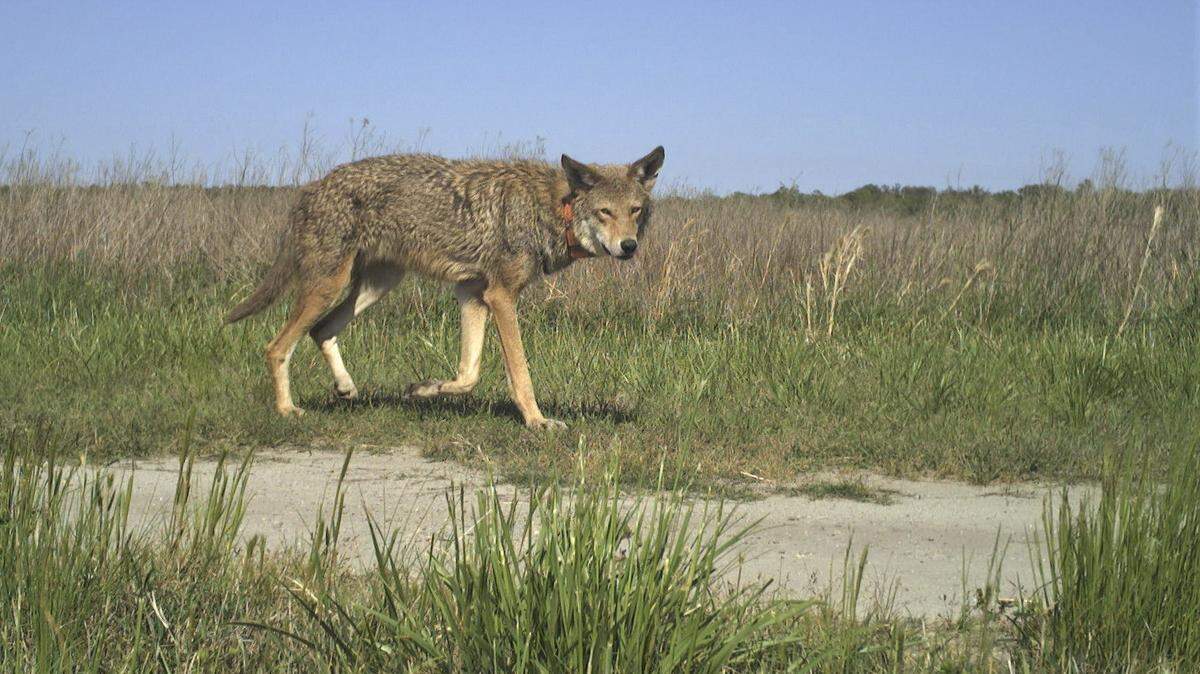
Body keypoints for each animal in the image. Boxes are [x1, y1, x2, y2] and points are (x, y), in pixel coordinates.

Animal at [226, 146, 665, 430]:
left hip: (376, 285)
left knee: (321, 331)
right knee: (277, 347)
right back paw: (288, 410)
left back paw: (346, 388)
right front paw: (537, 421)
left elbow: (468, 373)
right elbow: (520, 373)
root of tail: (311, 187)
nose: (629, 246)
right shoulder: (500, 297)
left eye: (635, 211)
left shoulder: (472, 294)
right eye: (605, 212)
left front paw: (424, 389)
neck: (554, 209)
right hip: (328, 287)